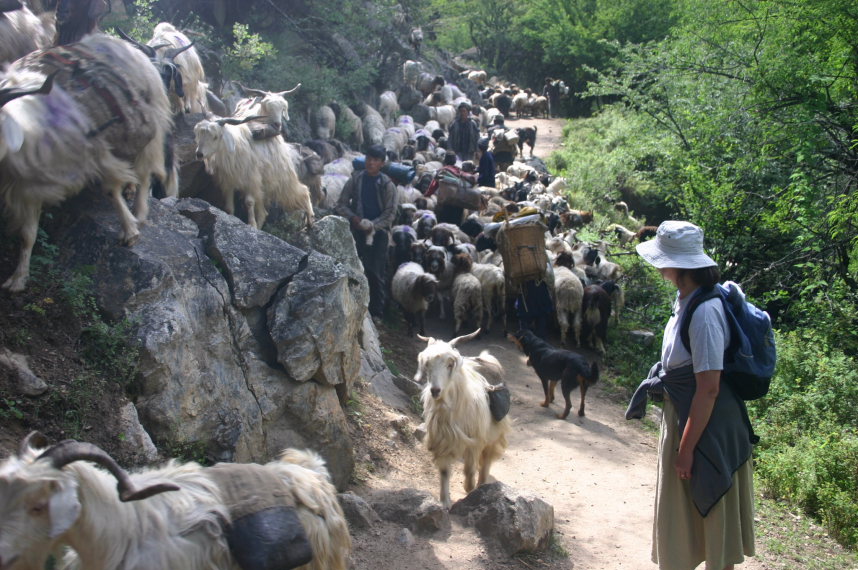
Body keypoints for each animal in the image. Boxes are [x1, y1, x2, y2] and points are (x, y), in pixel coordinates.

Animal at [0, 31, 174, 290]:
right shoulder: (30, 183)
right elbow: (28, 233)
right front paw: (18, 279)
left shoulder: (96, 150)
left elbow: (111, 190)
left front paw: (130, 232)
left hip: (150, 122)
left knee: (144, 172)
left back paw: (140, 211)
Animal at [412, 328, 508, 506]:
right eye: (427, 365)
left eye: (450, 365)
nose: (435, 390)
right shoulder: (443, 441)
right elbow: (444, 472)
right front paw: (445, 501)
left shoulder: (475, 441)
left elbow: (469, 472)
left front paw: (470, 489)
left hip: (494, 433)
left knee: (486, 461)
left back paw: (482, 484)